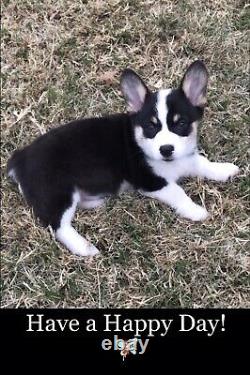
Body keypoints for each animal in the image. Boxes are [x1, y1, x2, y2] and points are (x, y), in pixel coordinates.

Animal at [7, 61, 238, 256]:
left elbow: (204, 164)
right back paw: (85, 248)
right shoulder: (151, 182)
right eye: (151, 127)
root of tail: (20, 157)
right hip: (59, 193)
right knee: (59, 227)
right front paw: (196, 210)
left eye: (180, 124)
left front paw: (225, 170)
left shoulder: (186, 158)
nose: (166, 149)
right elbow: (178, 192)